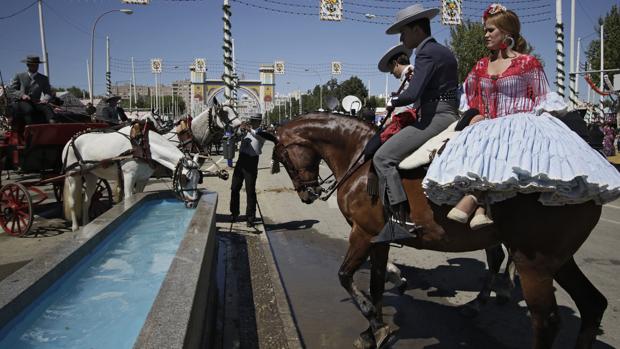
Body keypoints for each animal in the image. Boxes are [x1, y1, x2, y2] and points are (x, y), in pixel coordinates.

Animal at [61, 125, 201, 231]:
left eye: (198, 179)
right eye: (185, 179)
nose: (193, 203)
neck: (144, 146)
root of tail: (70, 141)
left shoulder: (142, 179)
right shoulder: (129, 176)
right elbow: (128, 198)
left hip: (91, 176)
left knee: (86, 201)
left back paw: (86, 224)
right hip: (72, 175)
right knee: (73, 201)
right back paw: (75, 227)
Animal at [272, 113, 604, 348]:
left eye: (283, 157)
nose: (307, 194)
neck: (361, 160)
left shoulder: (362, 234)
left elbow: (345, 276)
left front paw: (375, 324)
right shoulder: (379, 239)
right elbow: (377, 283)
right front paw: (373, 329)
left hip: (533, 261)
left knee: (546, 320)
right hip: (558, 260)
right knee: (592, 304)